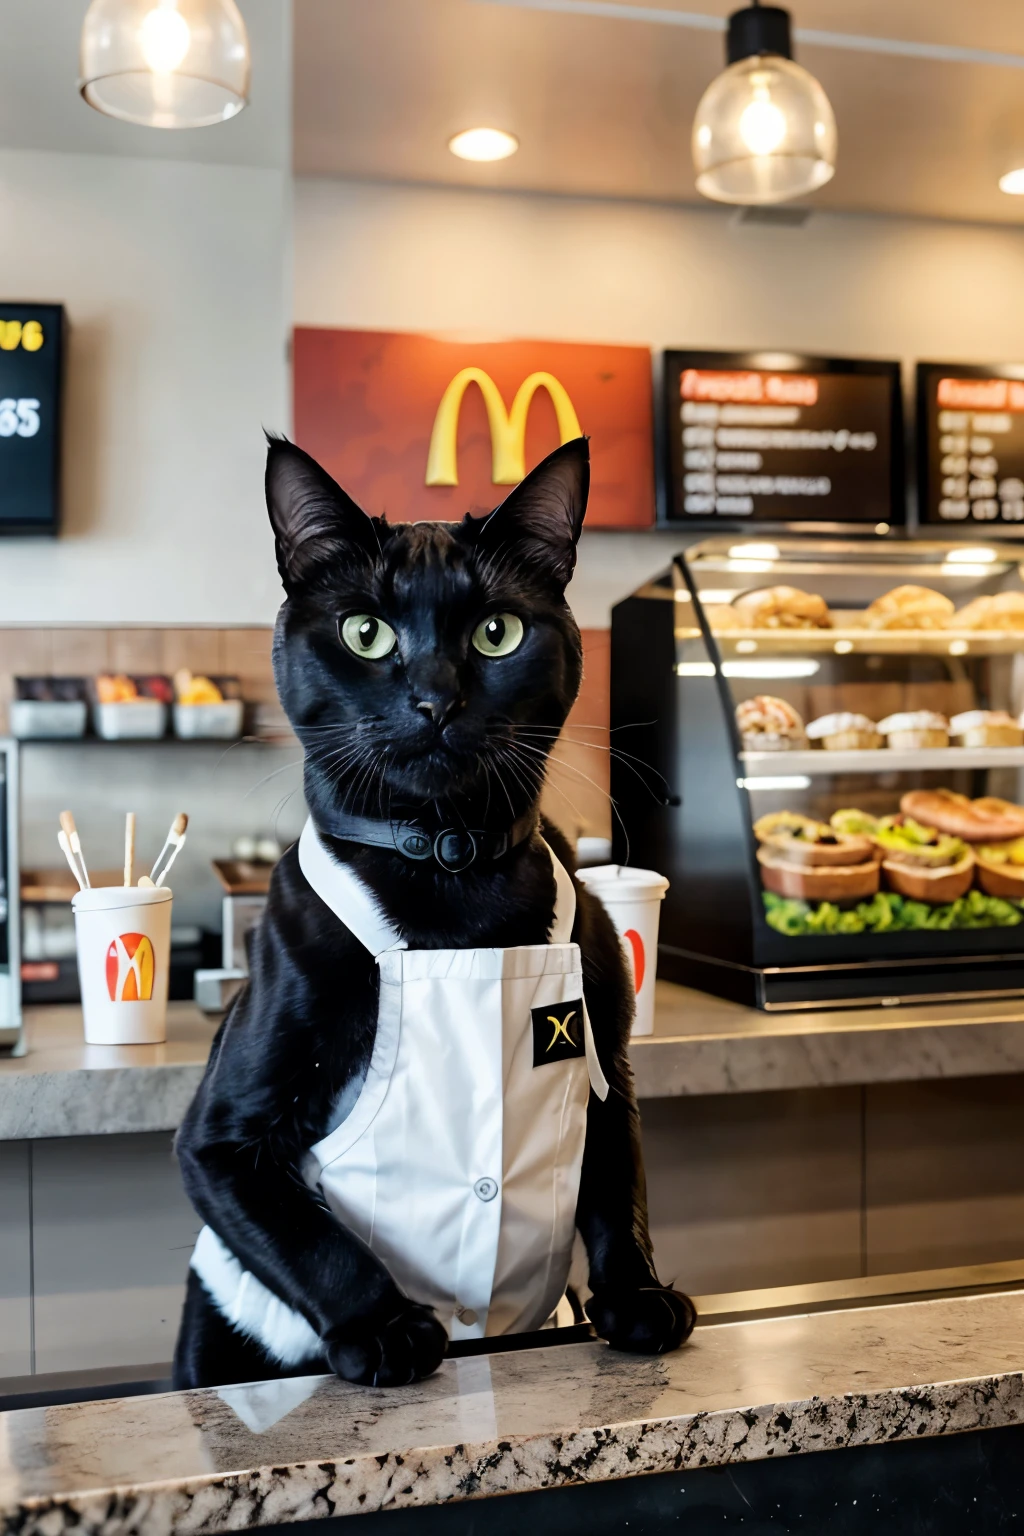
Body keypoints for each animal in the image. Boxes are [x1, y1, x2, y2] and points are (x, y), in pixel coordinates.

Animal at [174, 436, 696, 1394]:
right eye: (365, 633)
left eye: (497, 633)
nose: (435, 698)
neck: (450, 868)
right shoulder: (220, 1143)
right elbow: (317, 1241)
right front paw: (387, 1329)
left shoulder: (609, 1073)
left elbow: (617, 1192)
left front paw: (637, 1297)